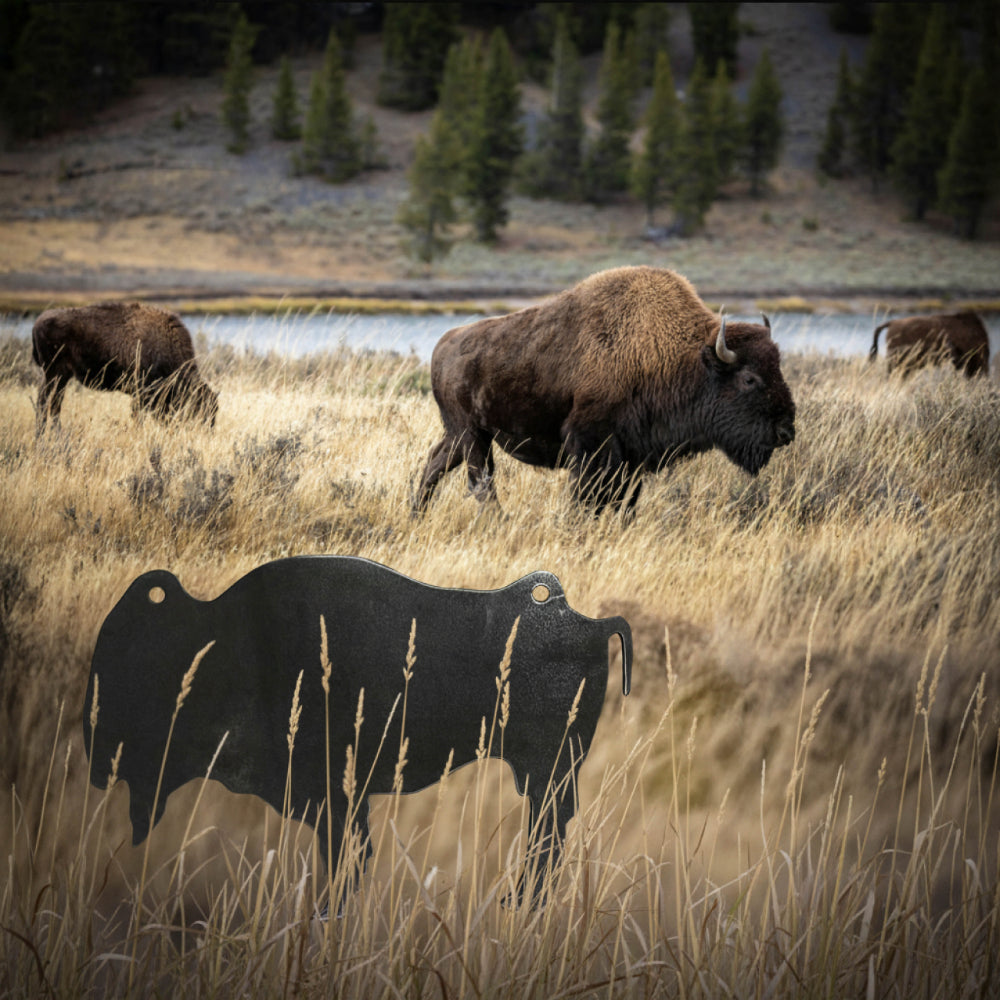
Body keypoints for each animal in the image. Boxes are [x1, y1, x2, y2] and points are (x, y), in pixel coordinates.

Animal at [32, 301, 218, 430]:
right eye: (199, 408)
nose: (206, 433)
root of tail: (37, 323)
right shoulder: (142, 394)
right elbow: (138, 417)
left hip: (57, 377)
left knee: (50, 405)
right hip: (55, 375)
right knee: (47, 404)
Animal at [415, 266, 796, 517]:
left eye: (777, 368)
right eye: (749, 379)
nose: (786, 432)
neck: (680, 356)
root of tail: (442, 345)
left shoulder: (634, 454)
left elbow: (624, 501)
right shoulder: (591, 444)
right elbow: (588, 497)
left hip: (462, 435)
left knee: (436, 462)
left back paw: (417, 515)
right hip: (473, 435)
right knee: (481, 483)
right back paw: (497, 521)